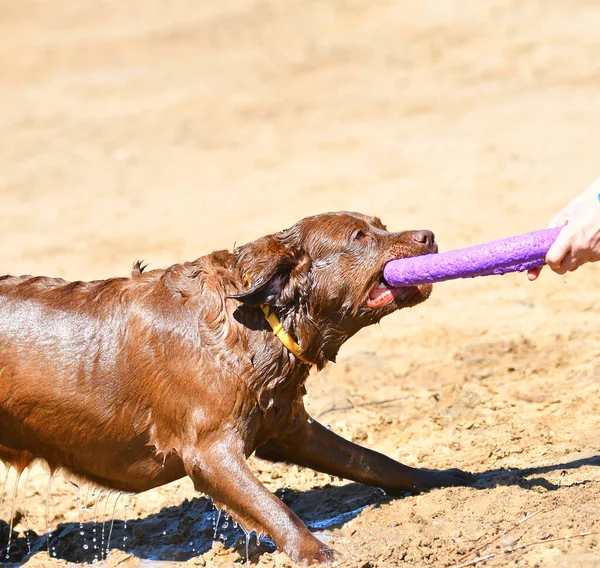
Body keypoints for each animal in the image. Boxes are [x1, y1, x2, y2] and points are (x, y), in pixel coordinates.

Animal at [0, 212, 468, 564]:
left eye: (380, 223)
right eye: (359, 236)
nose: (428, 235)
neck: (257, 317)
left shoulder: (287, 426)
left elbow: (371, 460)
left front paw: (438, 477)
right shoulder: (208, 450)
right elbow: (271, 505)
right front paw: (317, 552)